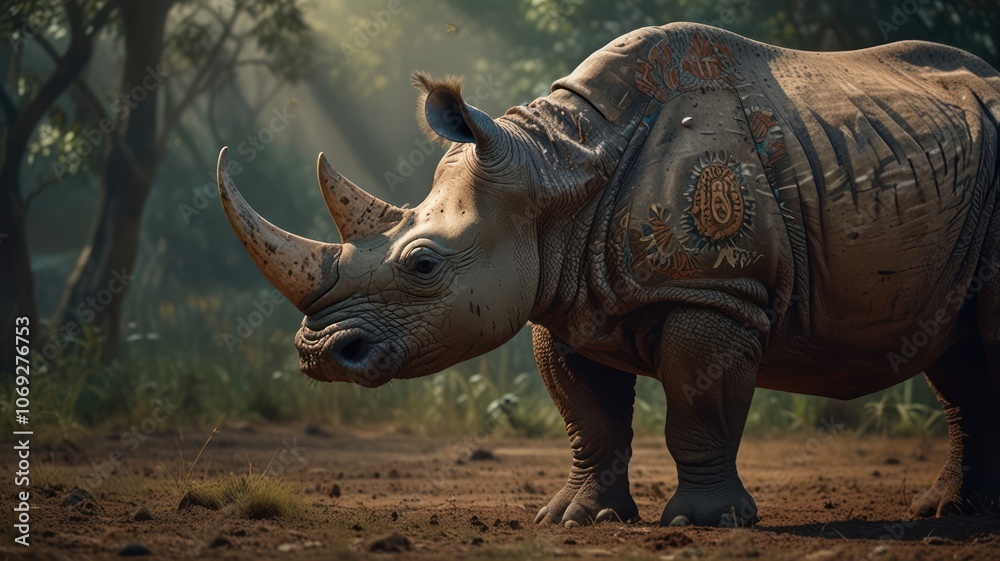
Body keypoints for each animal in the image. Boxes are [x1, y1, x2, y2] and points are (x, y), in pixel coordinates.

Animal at [217, 23, 1000, 527]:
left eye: (423, 264)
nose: (318, 354)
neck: (558, 169)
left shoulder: (716, 290)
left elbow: (697, 402)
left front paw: (703, 522)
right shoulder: (561, 299)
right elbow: (586, 415)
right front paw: (575, 519)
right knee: (961, 354)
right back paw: (949, 512)